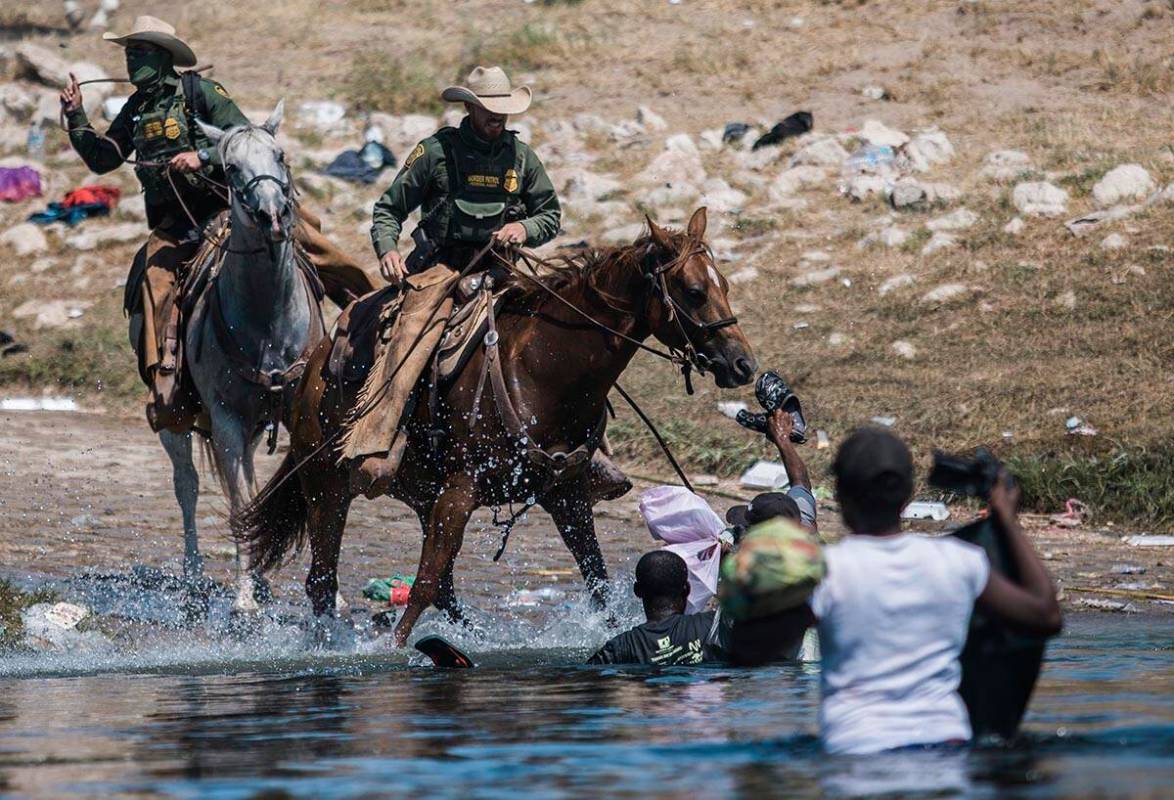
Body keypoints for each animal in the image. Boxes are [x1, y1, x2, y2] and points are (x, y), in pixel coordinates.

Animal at [158, 99, 326, 610]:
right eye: (231, 168)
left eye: (280, 155)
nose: (272, 215)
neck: (267, 321)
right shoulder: (226, 420)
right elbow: (237, 503)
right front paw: (244, 600)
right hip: (176, 419)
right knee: (188, 486)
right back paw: (196, 579)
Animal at [233, 205, 756, 643]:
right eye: (694, 292)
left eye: (726, 286)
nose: (743, 365)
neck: (544, 370)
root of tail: (310, 369)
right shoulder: (461, 491)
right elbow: (423, 584)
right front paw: (394, 650)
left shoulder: (566, 496)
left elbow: (597, 581)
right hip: (327, 486)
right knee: (323, 580)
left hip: (420, 493)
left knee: (440, 587)